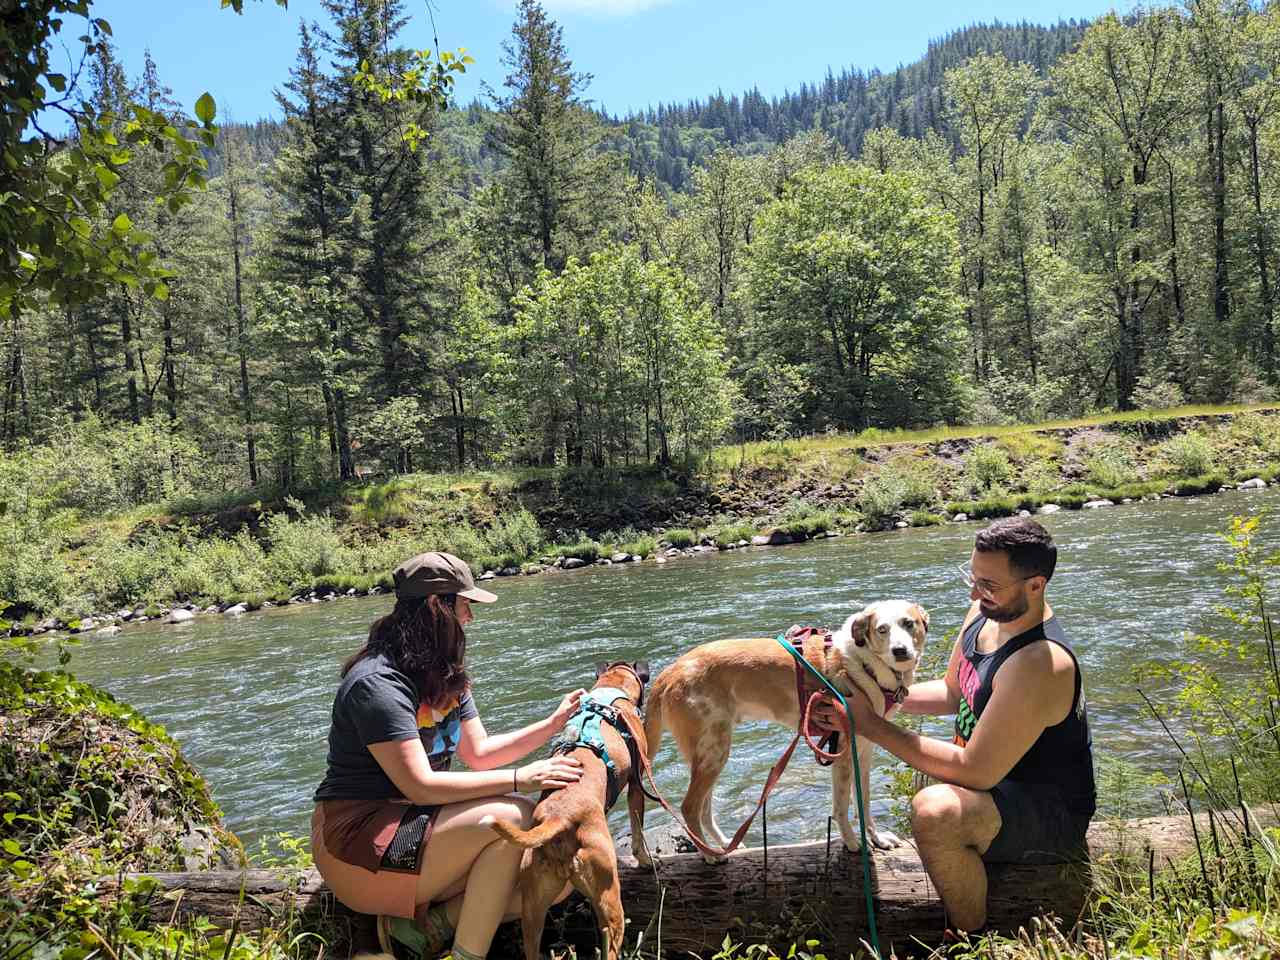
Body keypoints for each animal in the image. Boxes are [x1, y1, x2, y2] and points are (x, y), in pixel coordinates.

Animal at [488, 665, 650, 960]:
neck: (609, 690)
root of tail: (557, 819)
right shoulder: (636, 782)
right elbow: (637, 826)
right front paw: (643, 858)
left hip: (532, 908)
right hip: (609, 901)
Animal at [634, 601, 926, 865]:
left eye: (908, 623)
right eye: (881, 629)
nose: (900, 651)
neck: (863, 665)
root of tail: (669, 673)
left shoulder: (863, 751)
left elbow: (863, 803)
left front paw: (877, 839)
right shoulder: (842, 754)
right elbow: (842, 808)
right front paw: (853, 843)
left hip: (710, 753)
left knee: (704, 809)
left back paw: (724, 844)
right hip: (713, 751)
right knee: (690, 807)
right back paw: (708, 854)